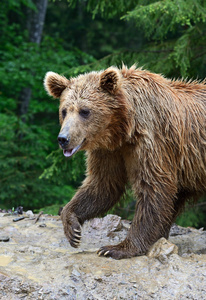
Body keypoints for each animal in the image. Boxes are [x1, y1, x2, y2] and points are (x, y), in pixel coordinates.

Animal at [43, 65, 206, 258]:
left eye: (85, 111)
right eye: (64, 111)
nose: (63, 139)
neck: (123, 130)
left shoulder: (153, 142)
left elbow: (154, 188)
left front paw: (116, 248)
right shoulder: (109, 152)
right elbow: (103, 185)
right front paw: (73, 229)